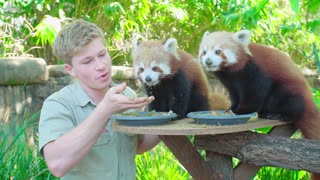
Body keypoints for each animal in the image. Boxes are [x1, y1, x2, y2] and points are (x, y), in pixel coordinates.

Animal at [198, 30, 320, 179]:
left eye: (218, 51)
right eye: (204, 52)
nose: (208, 61)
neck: (232, 72)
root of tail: (309, 98)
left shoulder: (254, 72)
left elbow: (256, 92)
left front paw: (241, 110)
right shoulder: (231, 82)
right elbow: (234, 95)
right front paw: (231, 108)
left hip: (287, 91)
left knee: (292, 106)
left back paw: (280, 115)